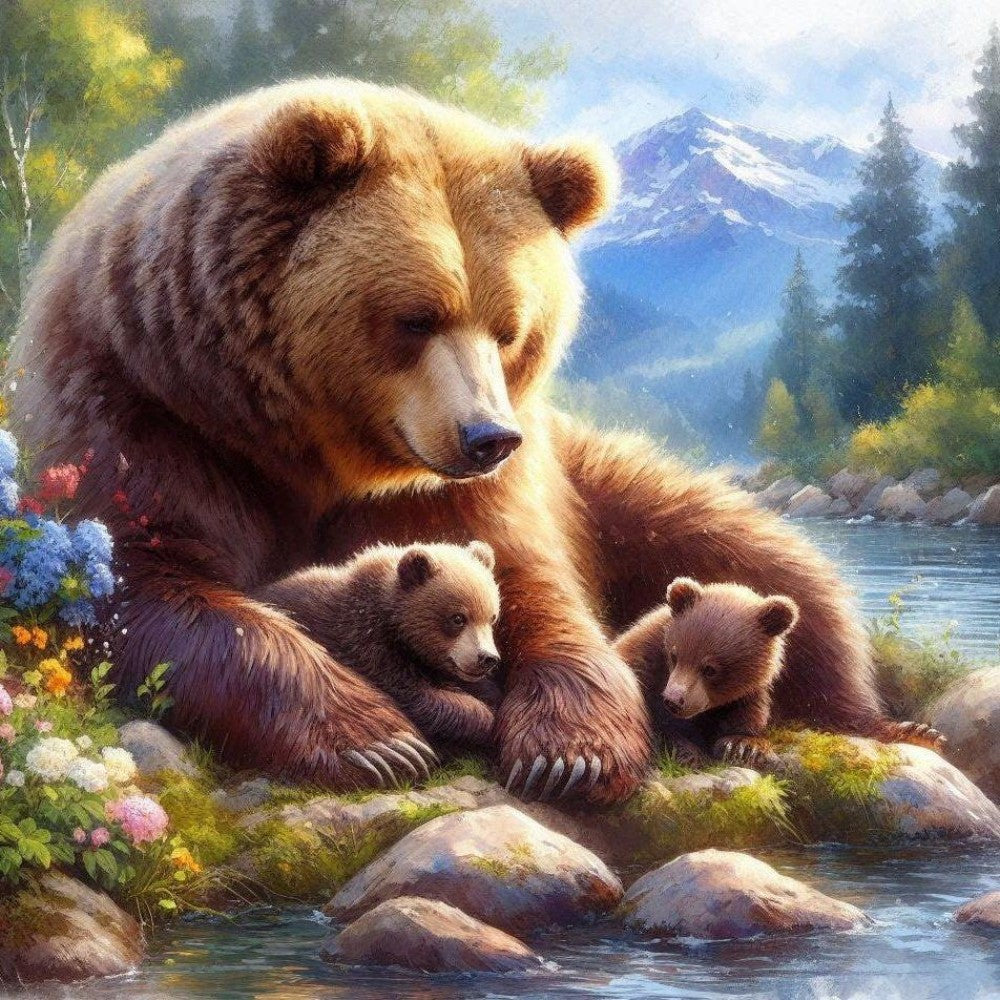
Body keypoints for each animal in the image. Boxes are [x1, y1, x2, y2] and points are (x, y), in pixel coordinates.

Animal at [258, 541, 502, 769]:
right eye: (458, 618)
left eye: (492, 617)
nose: (487, 658)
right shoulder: (366, 647)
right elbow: (412, 696)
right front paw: (481, 718)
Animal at [615, 577, 799, 769]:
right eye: (674, 656)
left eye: (710, 669)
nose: (673, 700)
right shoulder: (644, 661)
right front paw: (687, 751)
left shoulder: (746, 696)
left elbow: (746, 719)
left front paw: (742, 746)